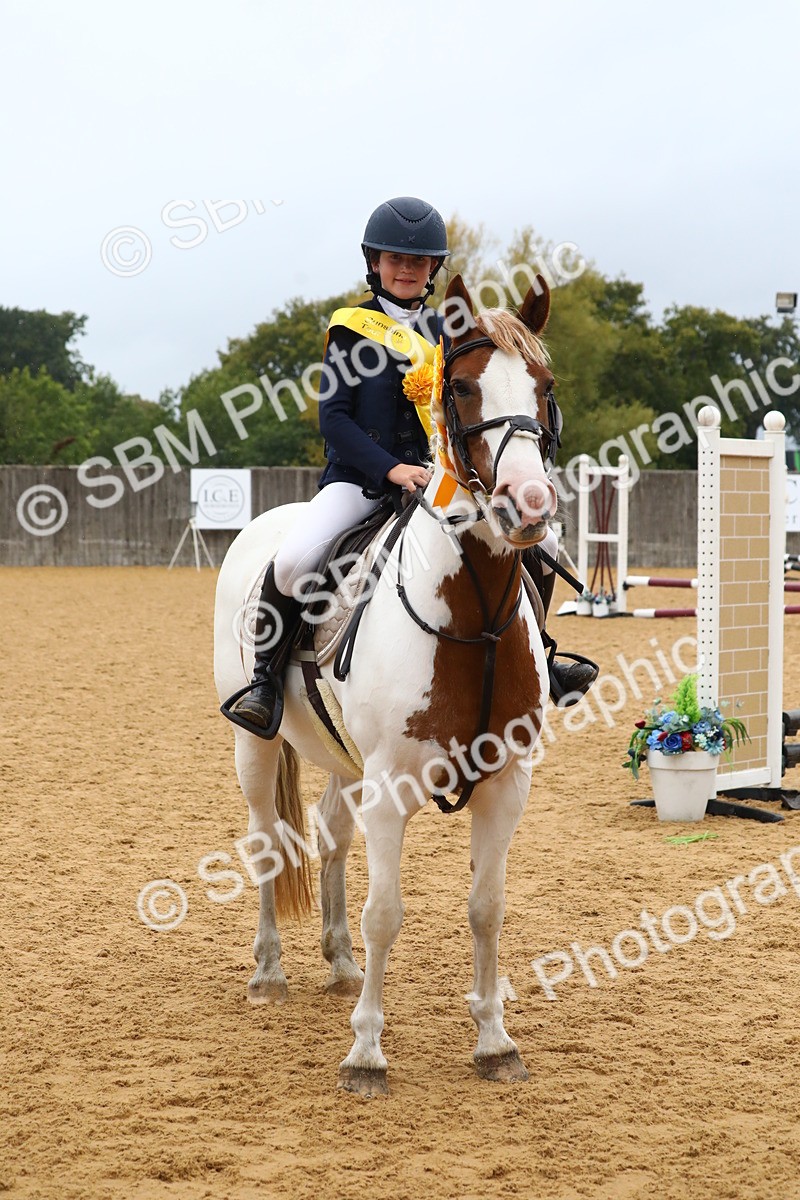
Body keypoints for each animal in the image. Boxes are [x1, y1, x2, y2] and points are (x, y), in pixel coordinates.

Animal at [213, 273, 560, 1097]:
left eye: (545, 386)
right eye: (460, 387)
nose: (528, 508)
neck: (472, 616)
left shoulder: (508, 783)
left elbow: (486, 907)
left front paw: (495, 1041)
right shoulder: (393, 785)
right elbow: (387, 913)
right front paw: (366, 1052)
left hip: (347, 762)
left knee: (329, 835)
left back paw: (339, 962)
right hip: (256, 746)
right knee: (266, 841)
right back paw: (269, 974)